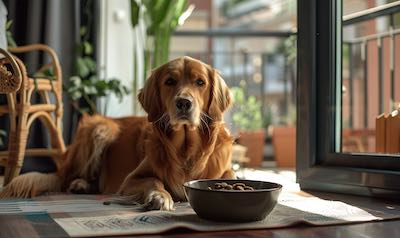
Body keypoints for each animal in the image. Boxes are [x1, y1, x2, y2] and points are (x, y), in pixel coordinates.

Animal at [0, 56, 236, 210]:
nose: (184, 103)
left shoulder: (225, 171)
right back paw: (80, 184)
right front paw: (160, 197)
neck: (186, 150)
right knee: (67, 179)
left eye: (200, 82)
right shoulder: (131, 179)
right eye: (170, 81)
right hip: (100, 129)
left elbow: (228, 176)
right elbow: (154, 181)